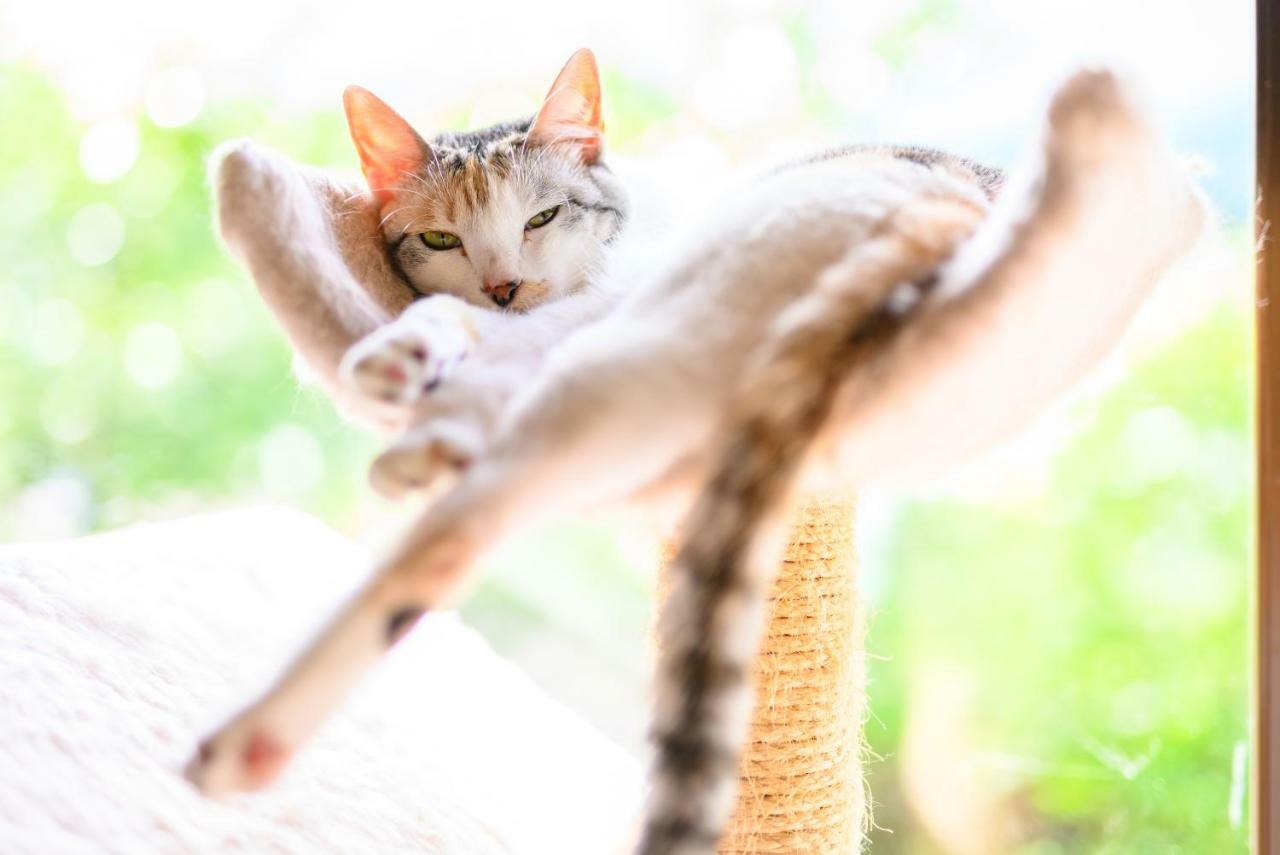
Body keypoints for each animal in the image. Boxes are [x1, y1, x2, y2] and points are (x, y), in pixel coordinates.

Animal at [189, 65, 1198, 855]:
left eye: (543, 215)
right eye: (440, 237)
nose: (505, 281)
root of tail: (949, 205)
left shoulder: (593, 293)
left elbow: (481, 330)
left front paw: (419, 355)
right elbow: (471, 323)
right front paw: (419, 353)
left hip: (650, 323)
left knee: (468, 508)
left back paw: (248, 736)